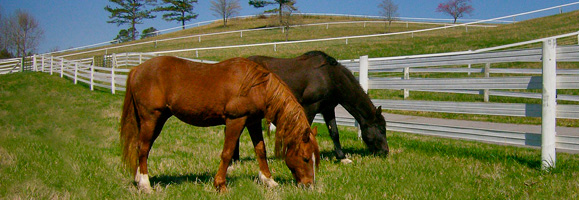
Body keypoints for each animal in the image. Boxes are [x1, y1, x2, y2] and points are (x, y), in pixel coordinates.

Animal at [121, 55, 322, 192]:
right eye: (306, 158)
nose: (309, 186)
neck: (256, 86)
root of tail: (137, 69)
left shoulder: (253, 122)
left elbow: (260, 150)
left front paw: (269, 180)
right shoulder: (235, 120)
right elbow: (227, 153)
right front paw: (220, 185)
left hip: (158, 119)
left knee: (143, 147)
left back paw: (139, 179)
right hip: (151, 118)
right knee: (143, 148)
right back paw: (145, 185)